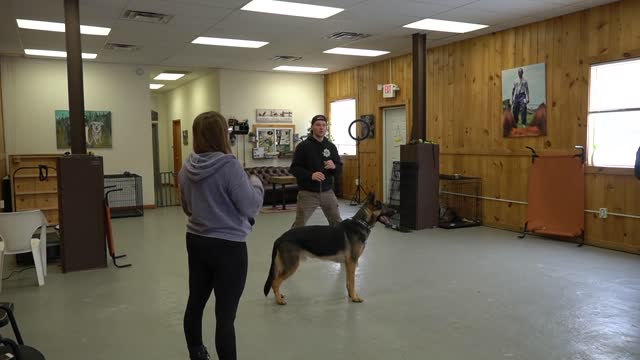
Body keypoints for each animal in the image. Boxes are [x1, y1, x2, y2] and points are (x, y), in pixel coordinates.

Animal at [262, 193, 392, 306]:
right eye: (383, 206)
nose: (395, 211)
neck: (361, 223)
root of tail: (280, 237)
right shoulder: (352, 262)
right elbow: (353, 282)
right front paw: (355, 297)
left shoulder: (348, 264)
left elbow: (348, 282)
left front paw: (351, 295)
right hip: (291, 266)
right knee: (275, 282)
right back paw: (279, 301)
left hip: (282, 266)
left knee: (275, 282)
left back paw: (279, 296)